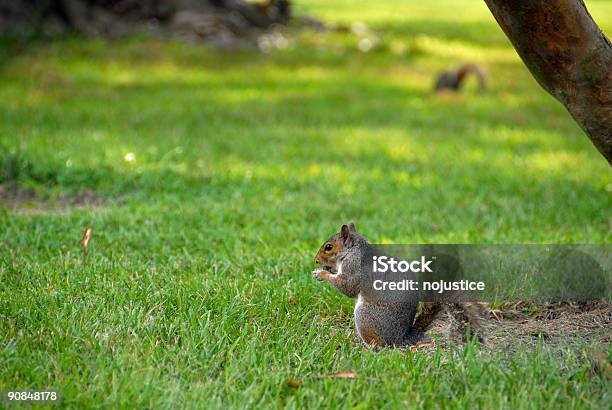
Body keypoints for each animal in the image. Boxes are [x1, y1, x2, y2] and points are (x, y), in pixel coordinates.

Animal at [314, 223, 486, 348]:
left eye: (328, 247)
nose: (315, 261)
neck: (353, 251)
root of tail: (401, 338)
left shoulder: (354, 268)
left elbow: (348, 287)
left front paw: (321, 274)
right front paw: (326, 270)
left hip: (365, 316)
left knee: (379, 344)